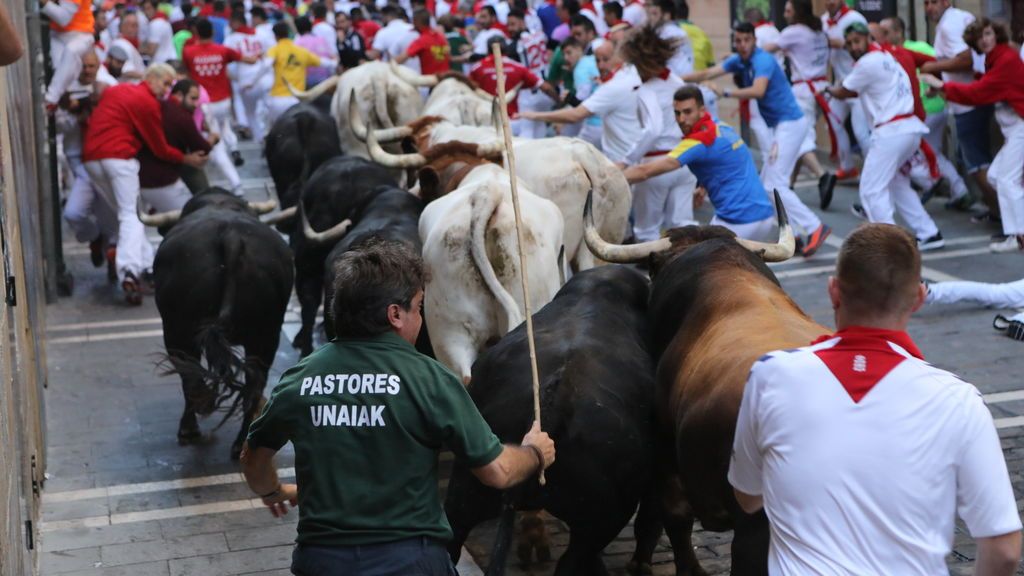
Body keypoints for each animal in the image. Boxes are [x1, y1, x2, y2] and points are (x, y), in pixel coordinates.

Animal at [153, 190, 294, 459]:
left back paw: (192, 425)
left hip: (178, 330)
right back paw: (241, 444)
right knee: (254, 383)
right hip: (266, 334)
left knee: (190, 376)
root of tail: (231, 237)